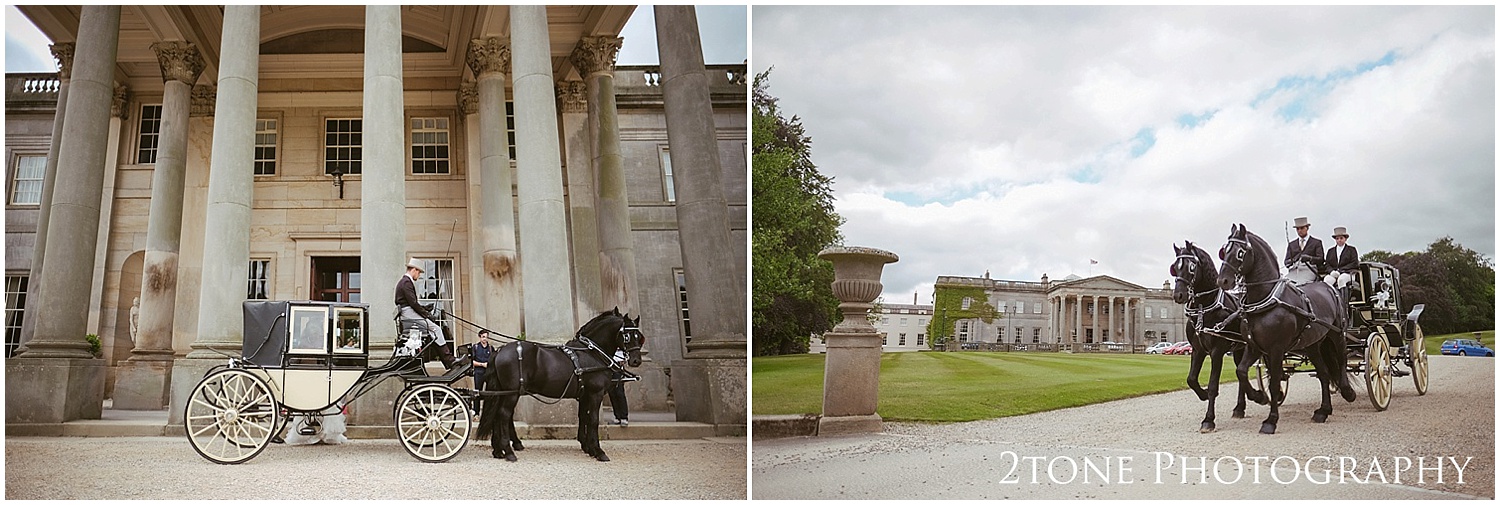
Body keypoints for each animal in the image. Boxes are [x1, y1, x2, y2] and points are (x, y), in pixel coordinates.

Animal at [480, 308, 645, 458]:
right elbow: (593, 420)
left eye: (639, 337)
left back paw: (498, 450)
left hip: (503, 392)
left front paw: (587, 447)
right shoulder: (595, 393)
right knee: (503, 414)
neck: (592, 353)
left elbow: (583, 417)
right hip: (512, 393)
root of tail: (499, 350)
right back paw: (508, 451)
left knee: (497, 414)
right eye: (627, 336)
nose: (636, 360)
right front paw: (598, 451)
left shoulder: (585, 394)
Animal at [1170, 238, 1266, 431]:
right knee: (1241, 374)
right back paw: (1240, 408)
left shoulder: (1217, 352)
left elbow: (1214, 385)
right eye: (1175, 267)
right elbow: (1191, 379)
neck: (1204, 308)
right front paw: (1203, 394)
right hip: (1239, 350)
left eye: (1192, 266)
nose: (1179, 295)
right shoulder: (1198, 350)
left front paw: (1208, 419)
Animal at [1212, 224, 1356, 431]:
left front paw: (1271, 420)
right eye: (1224, 251)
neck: (1265, 300)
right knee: (1324, 373)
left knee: (1342, 359)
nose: (1222, 281)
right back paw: (1323, 411)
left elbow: (1274, 382)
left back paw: (1347, 392)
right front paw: (1259, 397)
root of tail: (1329, 287)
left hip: (1337, 334)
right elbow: (1241, 372)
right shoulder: (1254, 347)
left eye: (1240, 252)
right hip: (1312, 345)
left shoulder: (1277, 349)